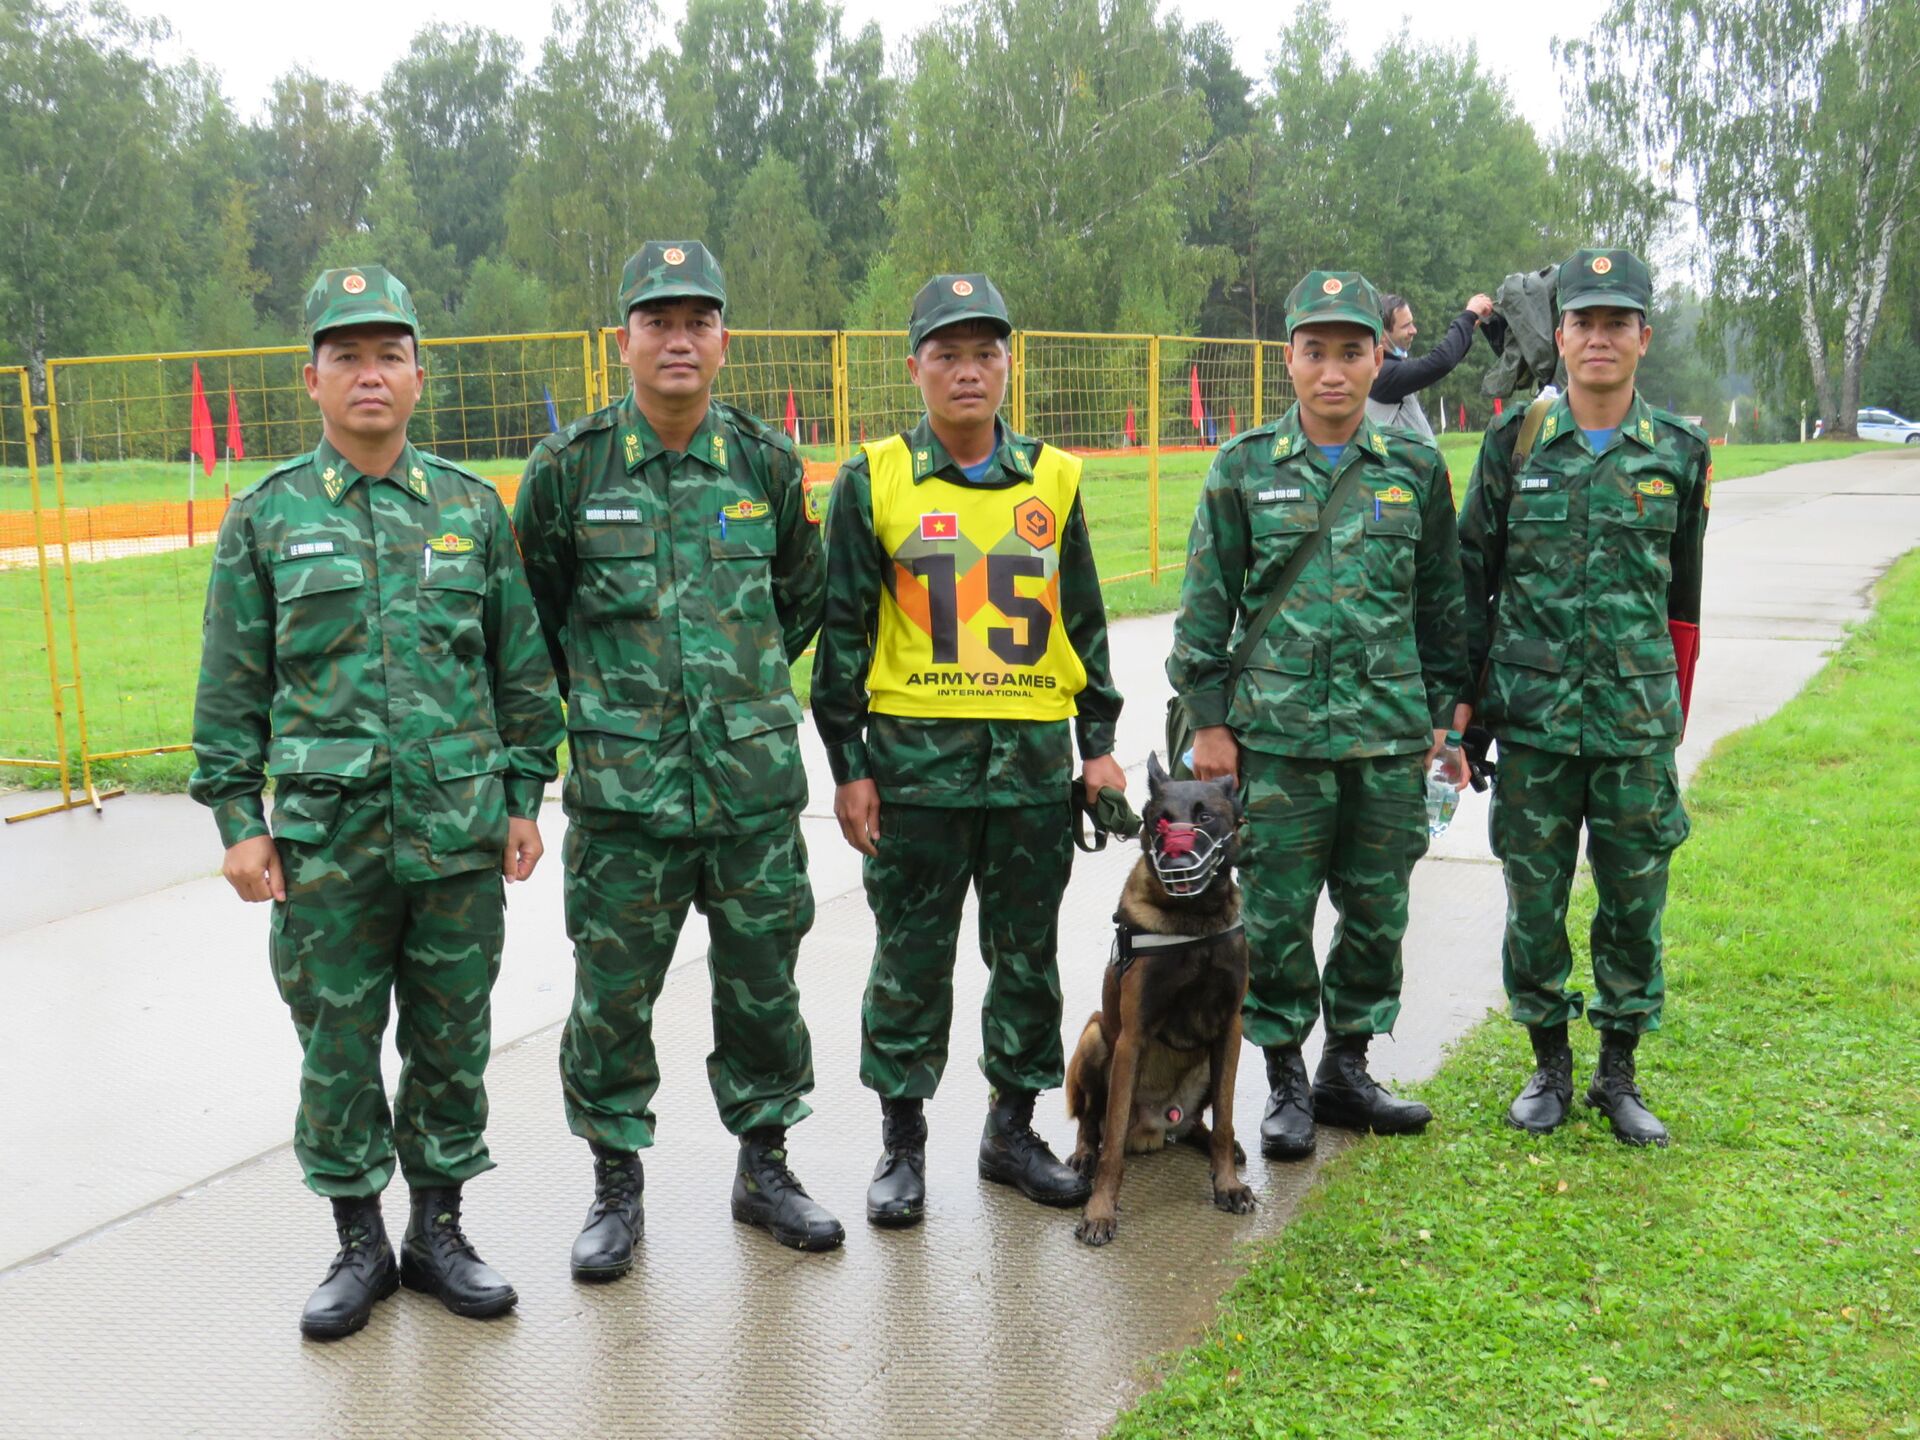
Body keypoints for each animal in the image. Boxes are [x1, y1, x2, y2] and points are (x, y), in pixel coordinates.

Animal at [1067, 756, 1259, 1251]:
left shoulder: (1231, 1028)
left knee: (1200, 1125)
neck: (1194, 922)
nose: (1178, 863)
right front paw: (1099, 1210)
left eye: (1205, 817)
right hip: (1095, 1037)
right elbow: (1112, 1143)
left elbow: (1226, 1118)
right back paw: (1082, 1155)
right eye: (1160, 821)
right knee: (1092, 1123)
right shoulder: (1131, 1038)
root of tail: (1157, 1128)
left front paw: (1227, 1185)